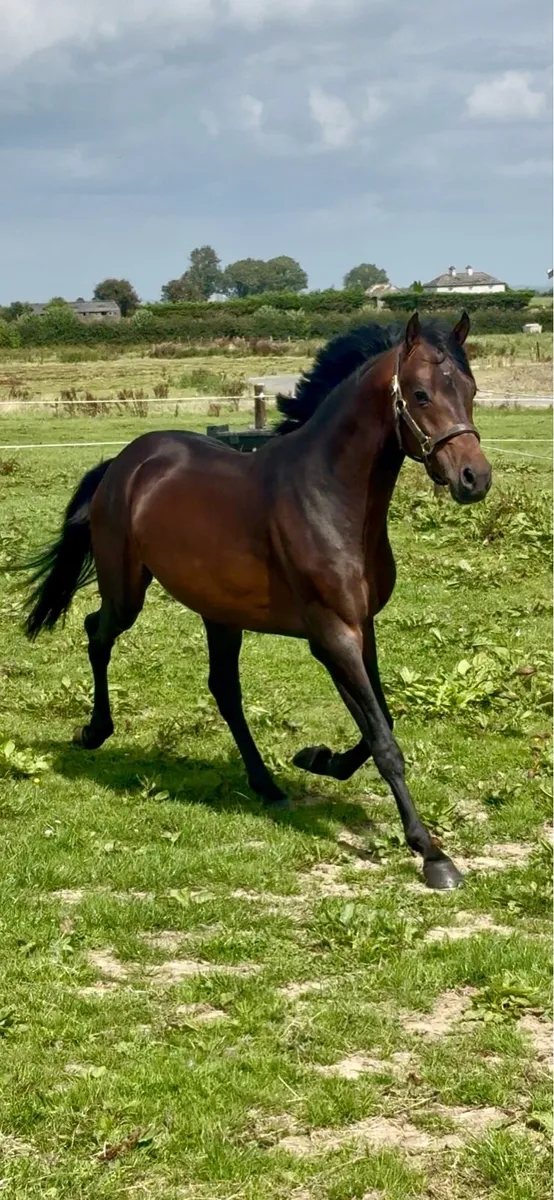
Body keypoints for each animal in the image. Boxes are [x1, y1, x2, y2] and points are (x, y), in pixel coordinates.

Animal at [24, 311, 492, 890]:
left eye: (471, 390)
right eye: (422, 394)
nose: (475, 478)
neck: (329, 497)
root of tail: (124, 462)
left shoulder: (363, 628)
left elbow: (379, 723)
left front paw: (317, 758)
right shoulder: (332, 635)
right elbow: (383, 741)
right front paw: (432, 855)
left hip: (219, 613)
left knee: (224, 689)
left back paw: (266, 784)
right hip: (127, 592)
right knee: (97, 632)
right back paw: (93, 732)